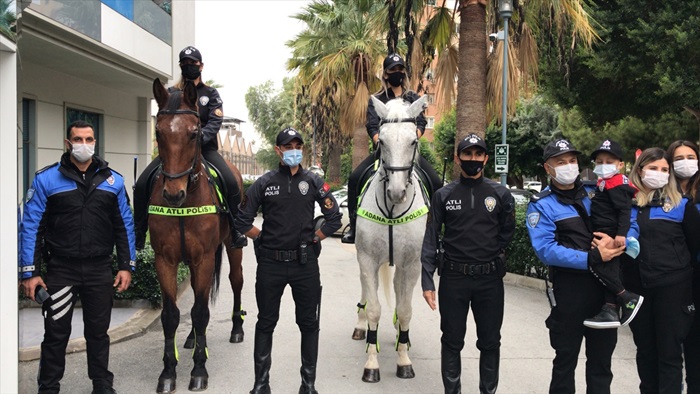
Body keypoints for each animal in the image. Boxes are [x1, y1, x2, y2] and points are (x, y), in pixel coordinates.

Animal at [149, 78, 245, 392]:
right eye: (158, 132)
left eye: (194, 134)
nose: (173, 194)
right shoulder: (165, 260)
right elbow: (171, 315)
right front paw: (168, 372)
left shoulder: (204, 258)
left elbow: (201, 312)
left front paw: (199, 370)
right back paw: (192, 338)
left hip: (232, 247)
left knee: (236, 282)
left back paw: (237, 329)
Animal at [352, 94, 430, 382]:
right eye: (382, 142)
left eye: (413, 141)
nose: (396, 192)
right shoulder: (367, 259)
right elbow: (374, 308)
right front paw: (371, 364)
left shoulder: (413, 264)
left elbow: (406, 310)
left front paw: (404, 360)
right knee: (366, 292)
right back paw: (361, 326)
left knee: (398, 290)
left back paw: (400, 336)